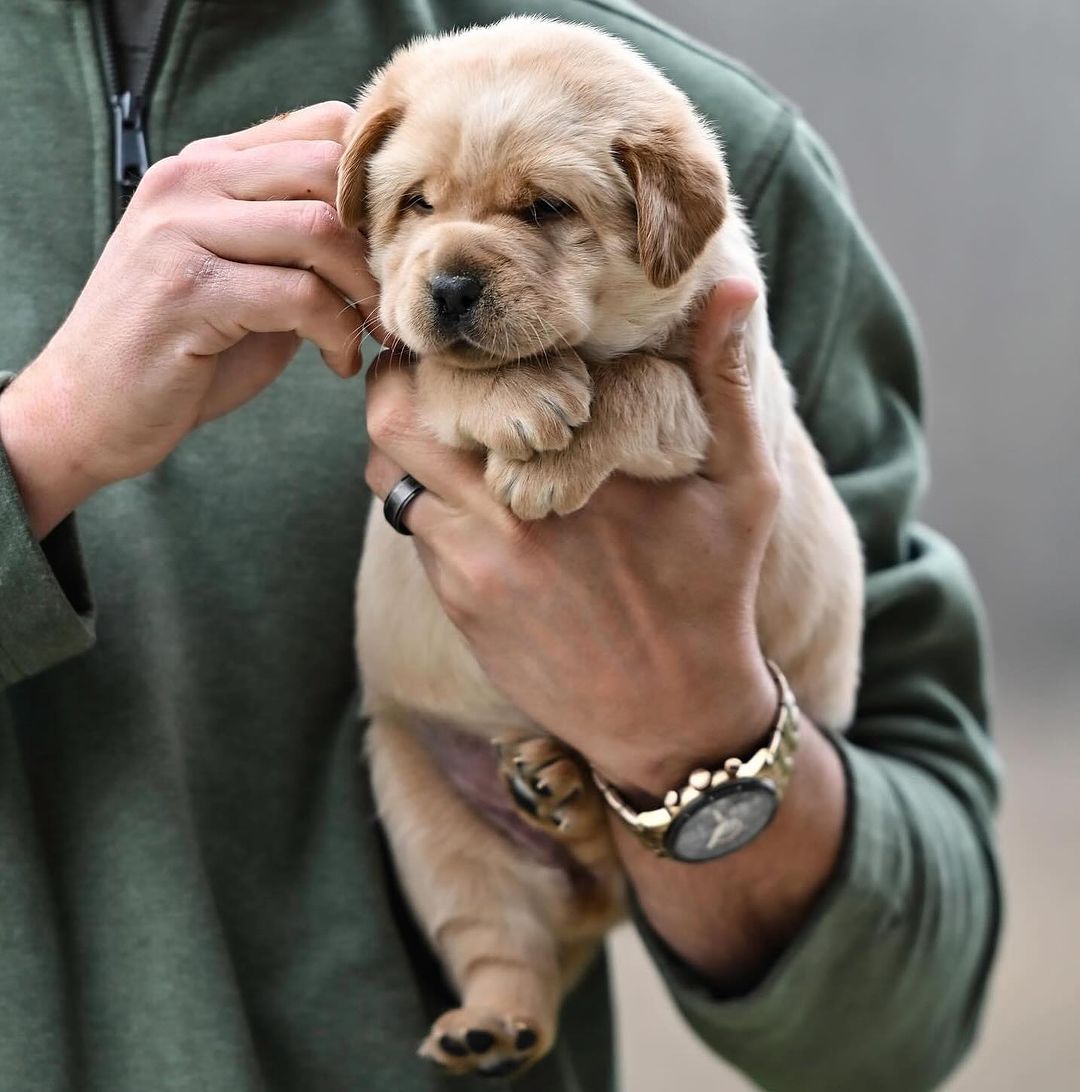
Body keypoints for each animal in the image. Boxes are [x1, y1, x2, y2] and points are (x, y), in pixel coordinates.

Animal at [334, 14, 860, 1074]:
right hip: (423, 809)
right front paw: (522, 398)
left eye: (545, 209)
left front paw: (556, 448)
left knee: (606, 873)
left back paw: (567, 796)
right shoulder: (404, 362)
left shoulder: (719, 393)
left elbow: (646, 385)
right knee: (506, 937)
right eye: (416, 203)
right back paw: (496, 1012)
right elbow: (447, 372)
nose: (449, 284)